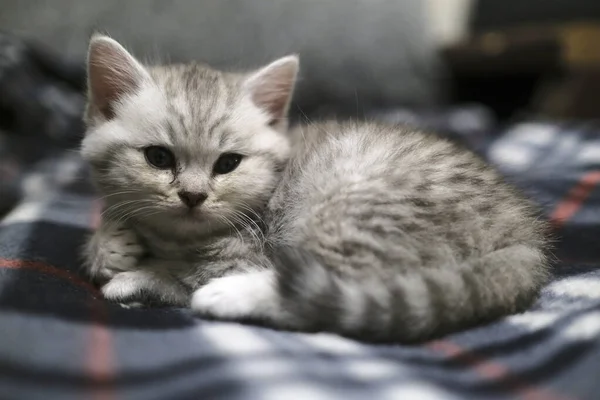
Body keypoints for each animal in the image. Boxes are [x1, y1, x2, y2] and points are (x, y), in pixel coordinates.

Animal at [82, 34, 552, 342]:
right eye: (159, 158)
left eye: (228, 163)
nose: (193, 196)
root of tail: (523, 235)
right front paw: (111, 241)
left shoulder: (247, 251)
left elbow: (182, 275)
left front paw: (133, 274)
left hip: (352, 211)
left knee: (329, 299)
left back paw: (229, 296)